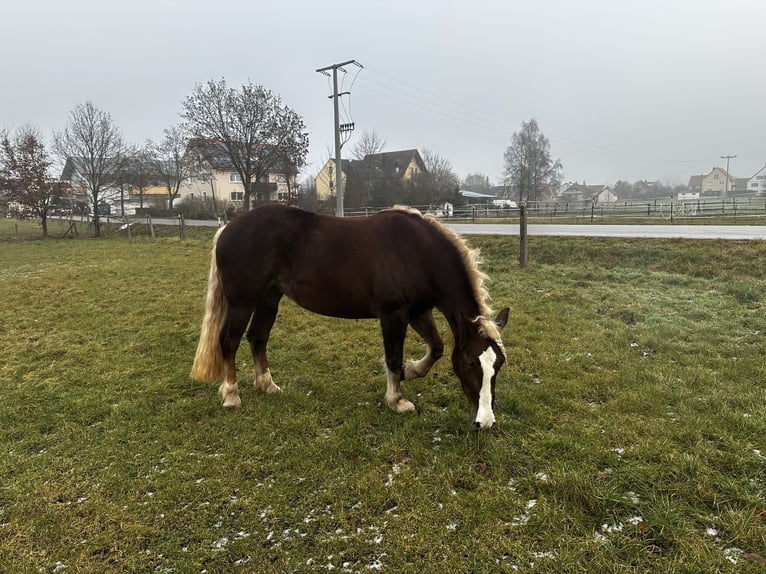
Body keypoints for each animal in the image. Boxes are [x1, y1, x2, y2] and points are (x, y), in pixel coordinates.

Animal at [192, 205, 510, 430]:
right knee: (229, 341)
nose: (486, 422)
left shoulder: (419, 312)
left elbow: (436, 348)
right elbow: (393, 357)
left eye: (498, 365)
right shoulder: (393, 315)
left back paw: (267, 385)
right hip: (242, 303)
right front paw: (397, 400)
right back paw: (231, 395)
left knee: (258, 337)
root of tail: (228, 227)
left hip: (269, 299)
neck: (417, 253)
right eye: (471, 363)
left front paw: (410, 371)